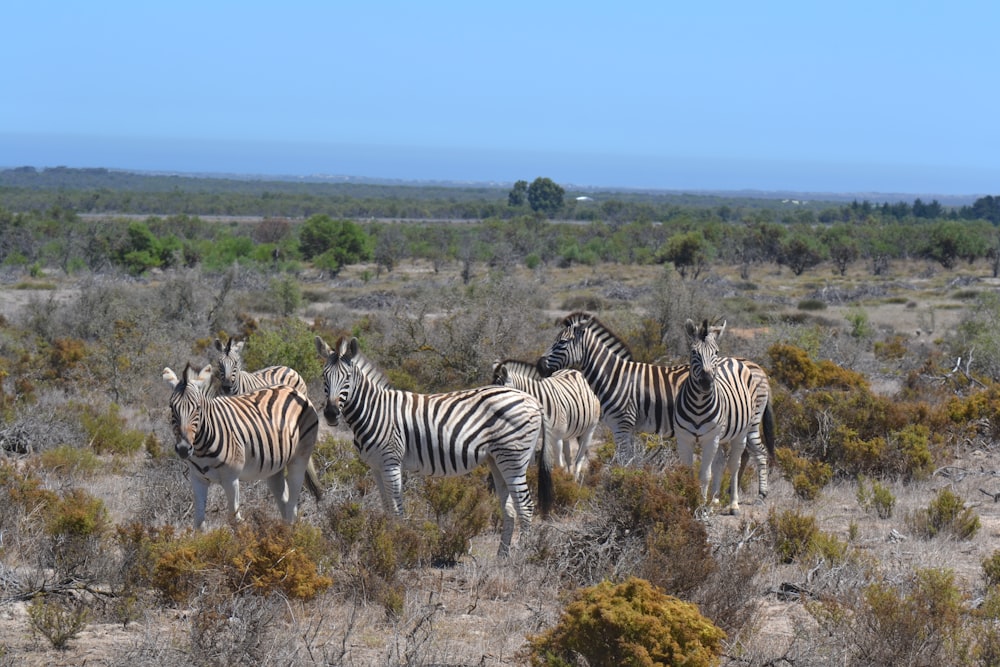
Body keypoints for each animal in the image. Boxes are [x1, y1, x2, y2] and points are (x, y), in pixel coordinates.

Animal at [162, 362, 322, 528]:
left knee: (292, 504)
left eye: (198, 407)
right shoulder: (198, 479)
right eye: (171, 407)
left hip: (300, 458)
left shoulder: (231, 479)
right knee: (284, 502)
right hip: (275, 466)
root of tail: (293, 390)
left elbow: (234, 519)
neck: (201, 449)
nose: (183, 449)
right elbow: (199, 522)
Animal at [314, 334, 556, 560]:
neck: (375, 410)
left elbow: (397, 509)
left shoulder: (391, 462)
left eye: (347, 378)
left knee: (525, 506)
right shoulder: (375, 466)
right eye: (324, 376)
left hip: (514, 457)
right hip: (497, 460)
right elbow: (387, 509)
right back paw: (502, 557)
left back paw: (522, 557)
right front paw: (385, 543)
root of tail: (532, 400)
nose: (331, 414)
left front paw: (398, 546)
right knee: (510, 508)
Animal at [676, 320, 776, 516]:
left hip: (749, 426)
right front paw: (690, 502)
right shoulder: (684, 439)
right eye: (693, 352)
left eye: (715, 352)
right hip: (727, 433)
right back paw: (718, 498)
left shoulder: (710, 439)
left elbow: (705, 474)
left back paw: (751, 498)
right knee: (726, 460)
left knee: (750, 456)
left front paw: (700, 506)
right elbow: (688, 472)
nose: (706, 382)